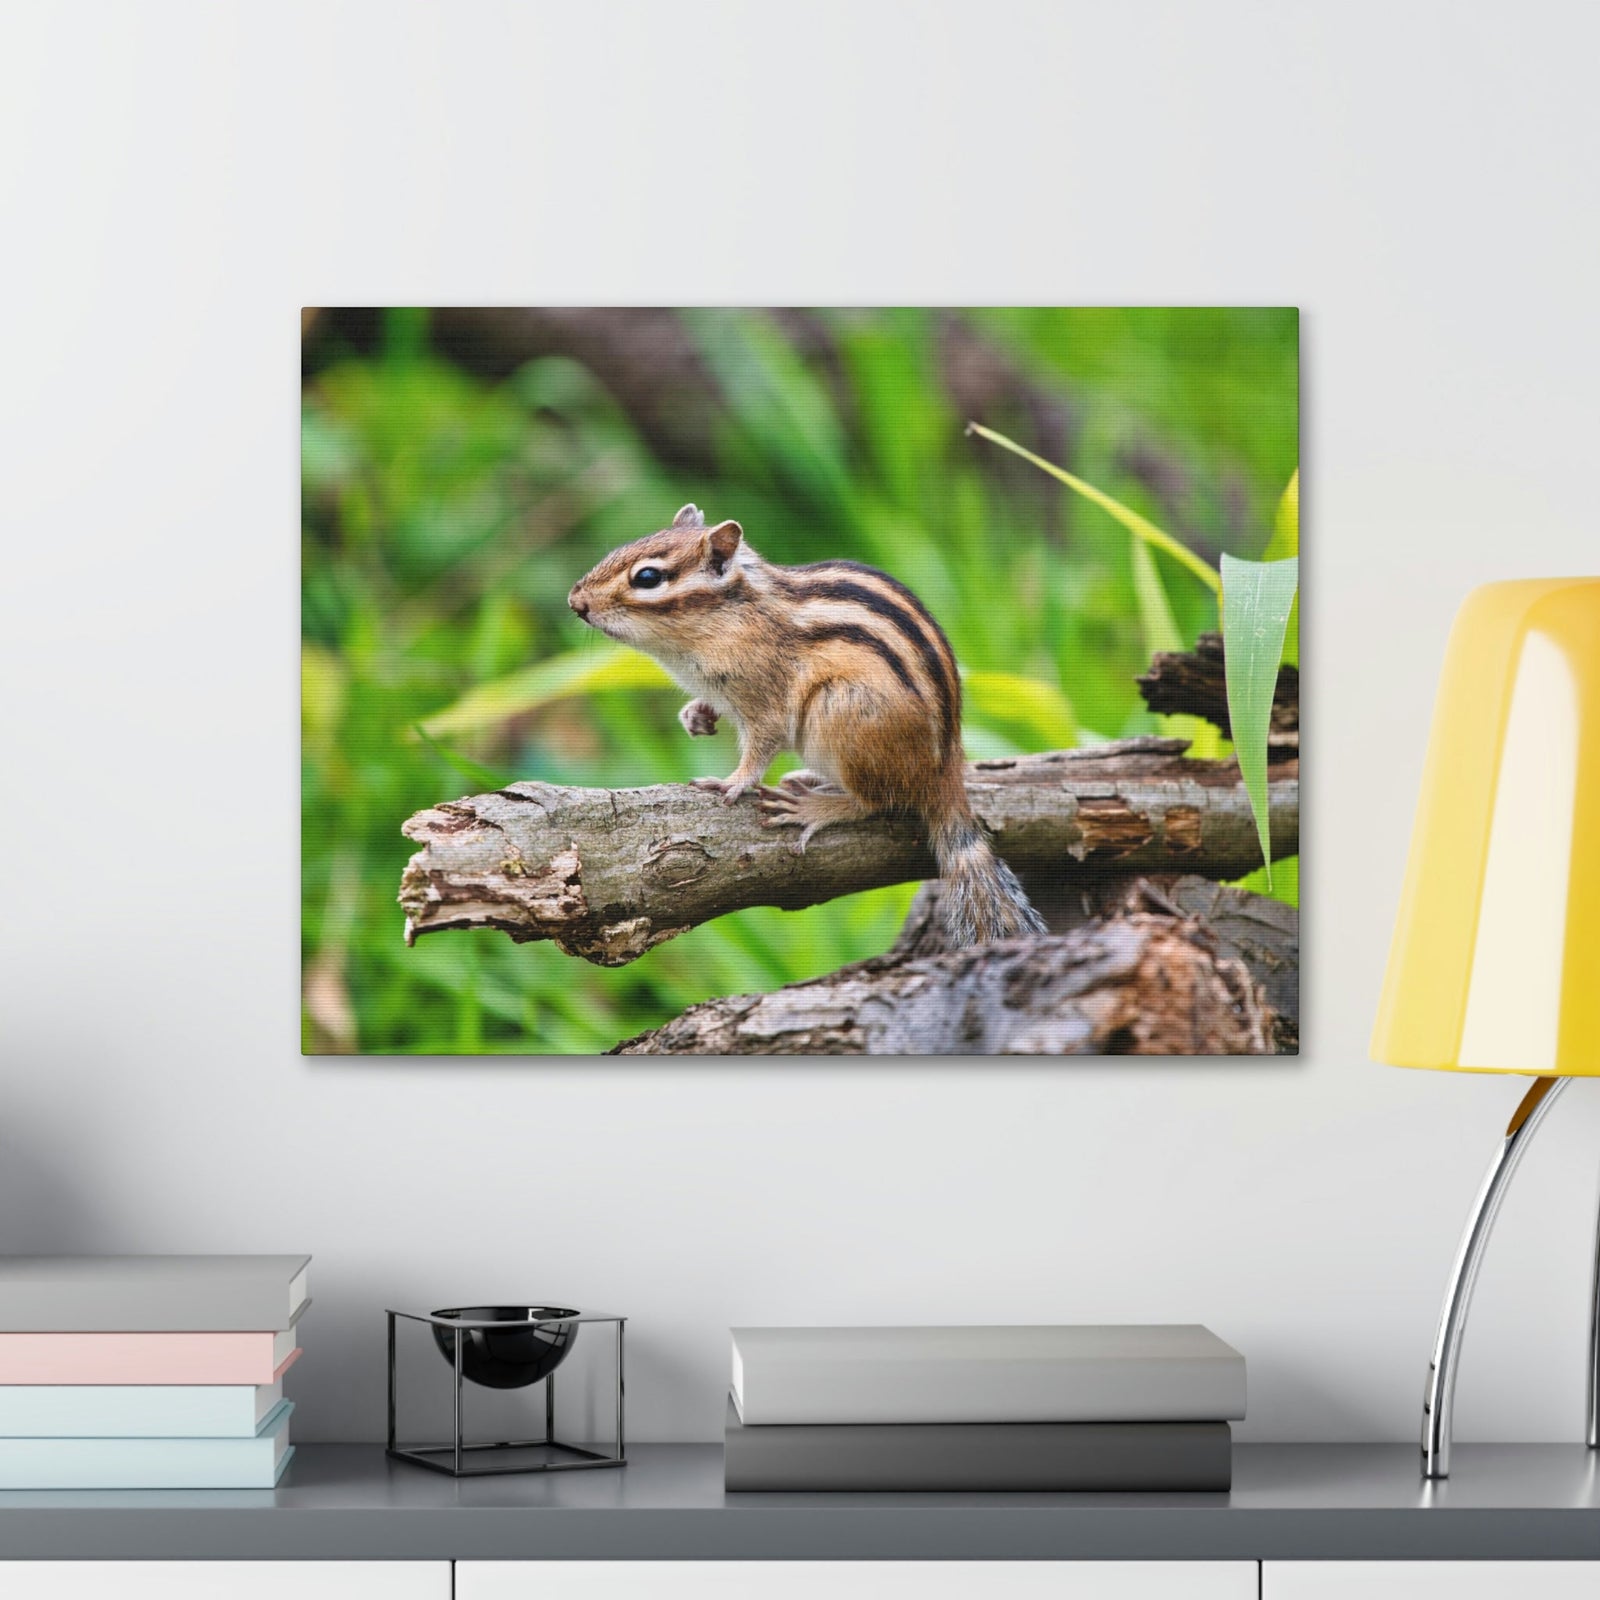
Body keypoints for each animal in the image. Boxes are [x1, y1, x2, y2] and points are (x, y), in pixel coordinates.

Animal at [567, 504, 1047, 947]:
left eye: (647, 578)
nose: (576, 602)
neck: (729, 618)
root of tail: (945, 772)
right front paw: (696, 715)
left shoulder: (766, 698)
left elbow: (762, 745)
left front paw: (733, 782)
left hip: (839, 711)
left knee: (878, 802)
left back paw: (814, 807)